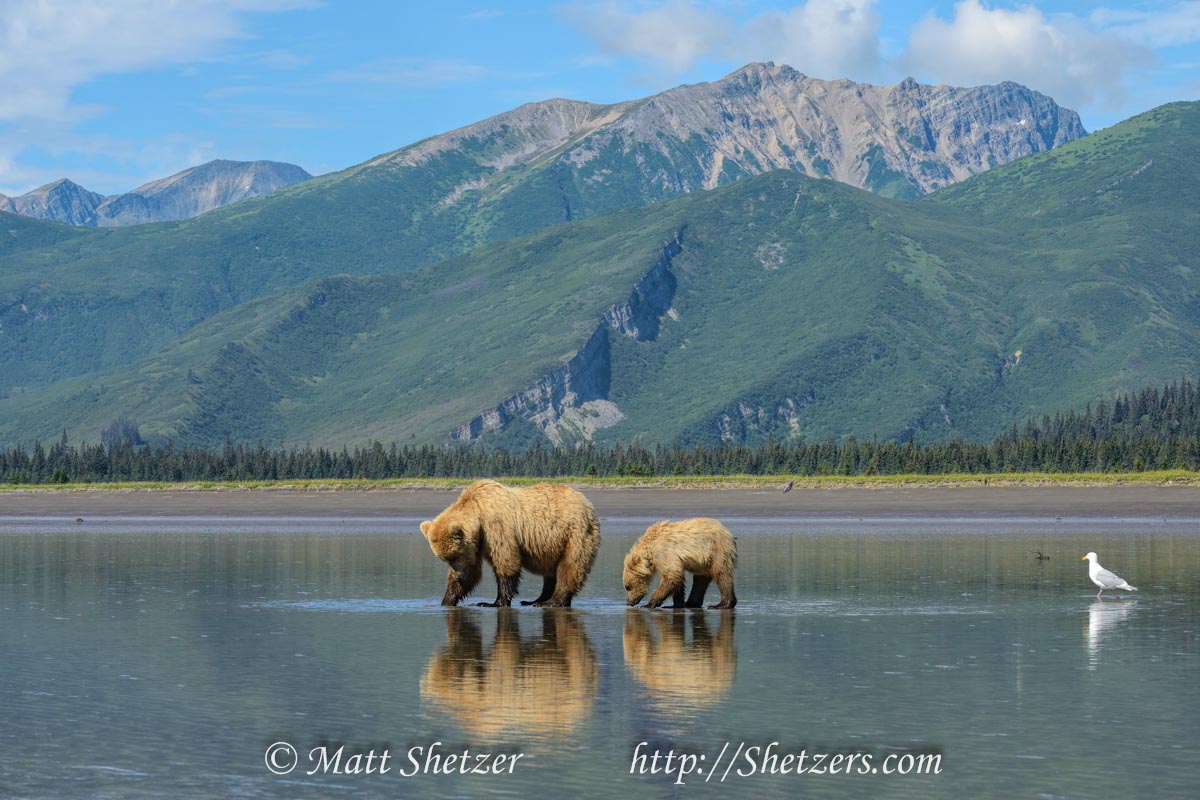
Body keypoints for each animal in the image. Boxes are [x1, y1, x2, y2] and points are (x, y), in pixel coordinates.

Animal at [420, 482, 600, 606]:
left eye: (454, 556)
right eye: (444, 559)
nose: (458, 576)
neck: (478, 513)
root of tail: (587, 504)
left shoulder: (496, 527)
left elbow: (506, 562)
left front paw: (493, 602)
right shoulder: (477, 543)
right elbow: (472, 571)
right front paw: (447, 599)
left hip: (575, 535)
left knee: (570, 567)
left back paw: (552, 601)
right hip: (552, 545)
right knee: (550, 573)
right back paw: (536, 599)